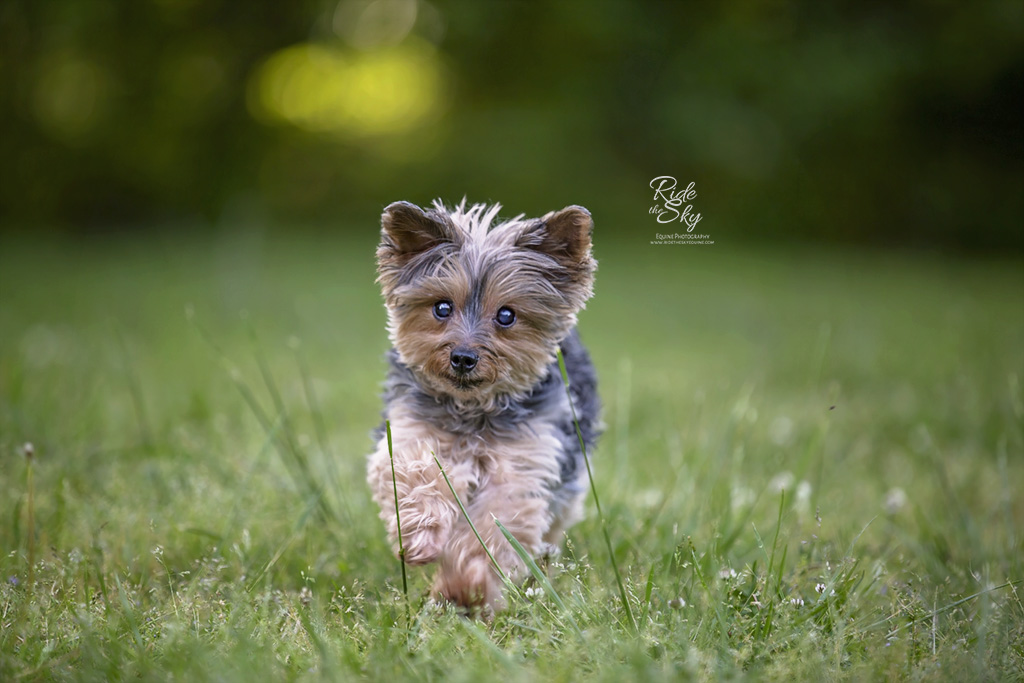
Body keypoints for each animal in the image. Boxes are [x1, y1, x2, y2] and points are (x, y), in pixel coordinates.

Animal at [368, 200, 598, 610]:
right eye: (442, 308)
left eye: (506, 315)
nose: (462, 357)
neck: (472, 409)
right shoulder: (412, 429)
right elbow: (415, 470)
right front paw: (422, 534)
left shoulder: (523, 463)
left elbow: (496, 524)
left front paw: (465, 588)